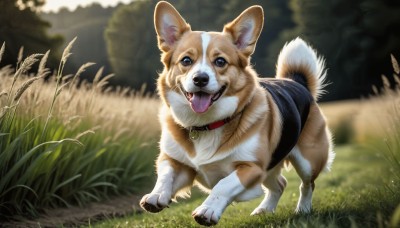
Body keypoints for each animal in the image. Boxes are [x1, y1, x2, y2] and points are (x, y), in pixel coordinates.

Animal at [141, 1, 334, 226]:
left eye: (220, 62)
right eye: (186, 60)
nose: (200, 79)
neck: (207, 123)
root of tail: (297, 82)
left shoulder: (252, 167)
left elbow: (223, 184)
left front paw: (208, 210)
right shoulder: (175, 161)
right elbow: (165, 175)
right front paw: (156, 195)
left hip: (307, 161)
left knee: (307, 184)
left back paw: (302, 209)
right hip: (270, 168)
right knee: (280, 184)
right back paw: (264, 210)